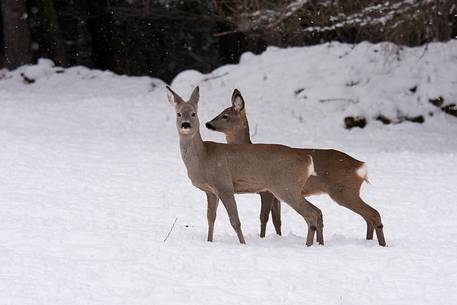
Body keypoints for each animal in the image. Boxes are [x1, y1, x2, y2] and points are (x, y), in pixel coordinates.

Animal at [166, 85, 322, 245]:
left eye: (193, 113)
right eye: (178, 114)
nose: (185, 124)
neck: (203, 157)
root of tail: (307, 158)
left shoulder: (224, 185)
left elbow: (235, 221)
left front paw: (243, 244)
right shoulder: (210, 191)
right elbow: (210, 218)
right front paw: (209, 242)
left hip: (285, 186)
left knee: (311, 214)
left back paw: (308, 245)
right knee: (316, 211)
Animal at [205, 88, 386, 245]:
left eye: (225, 116)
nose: (207, 123)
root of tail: (361, 166)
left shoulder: (267, 192)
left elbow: (264, 217)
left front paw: (263, 237)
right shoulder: (274, 195)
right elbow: (277, 221)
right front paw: (277, 237)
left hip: (343, 190)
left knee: (372, 213)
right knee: (367, 216)